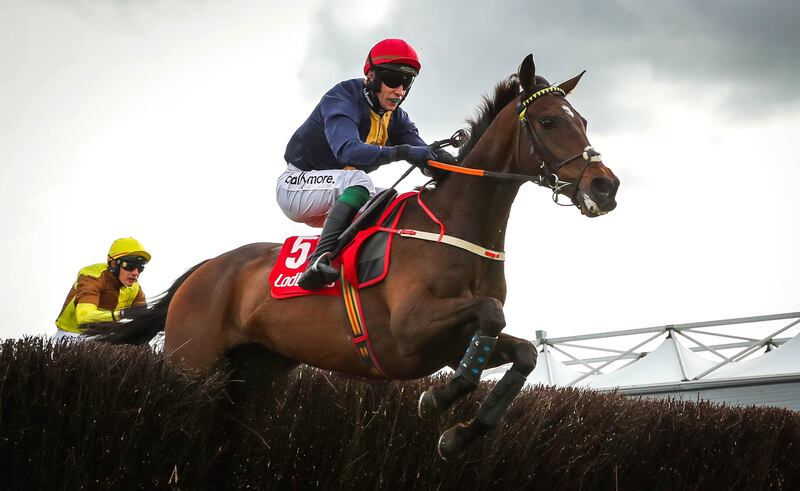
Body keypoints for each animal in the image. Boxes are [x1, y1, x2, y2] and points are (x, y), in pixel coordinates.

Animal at [90, 55, 620, 460]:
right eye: (549, 121)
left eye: (584, 121)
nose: (606, 186)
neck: (457, 226)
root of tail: (206, 269)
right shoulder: (411, 330)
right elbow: (491, 312)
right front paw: (437, 399)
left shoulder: (451, 343)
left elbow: (524, 351)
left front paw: (458, 435)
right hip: (190, 364)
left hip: (253, 376)